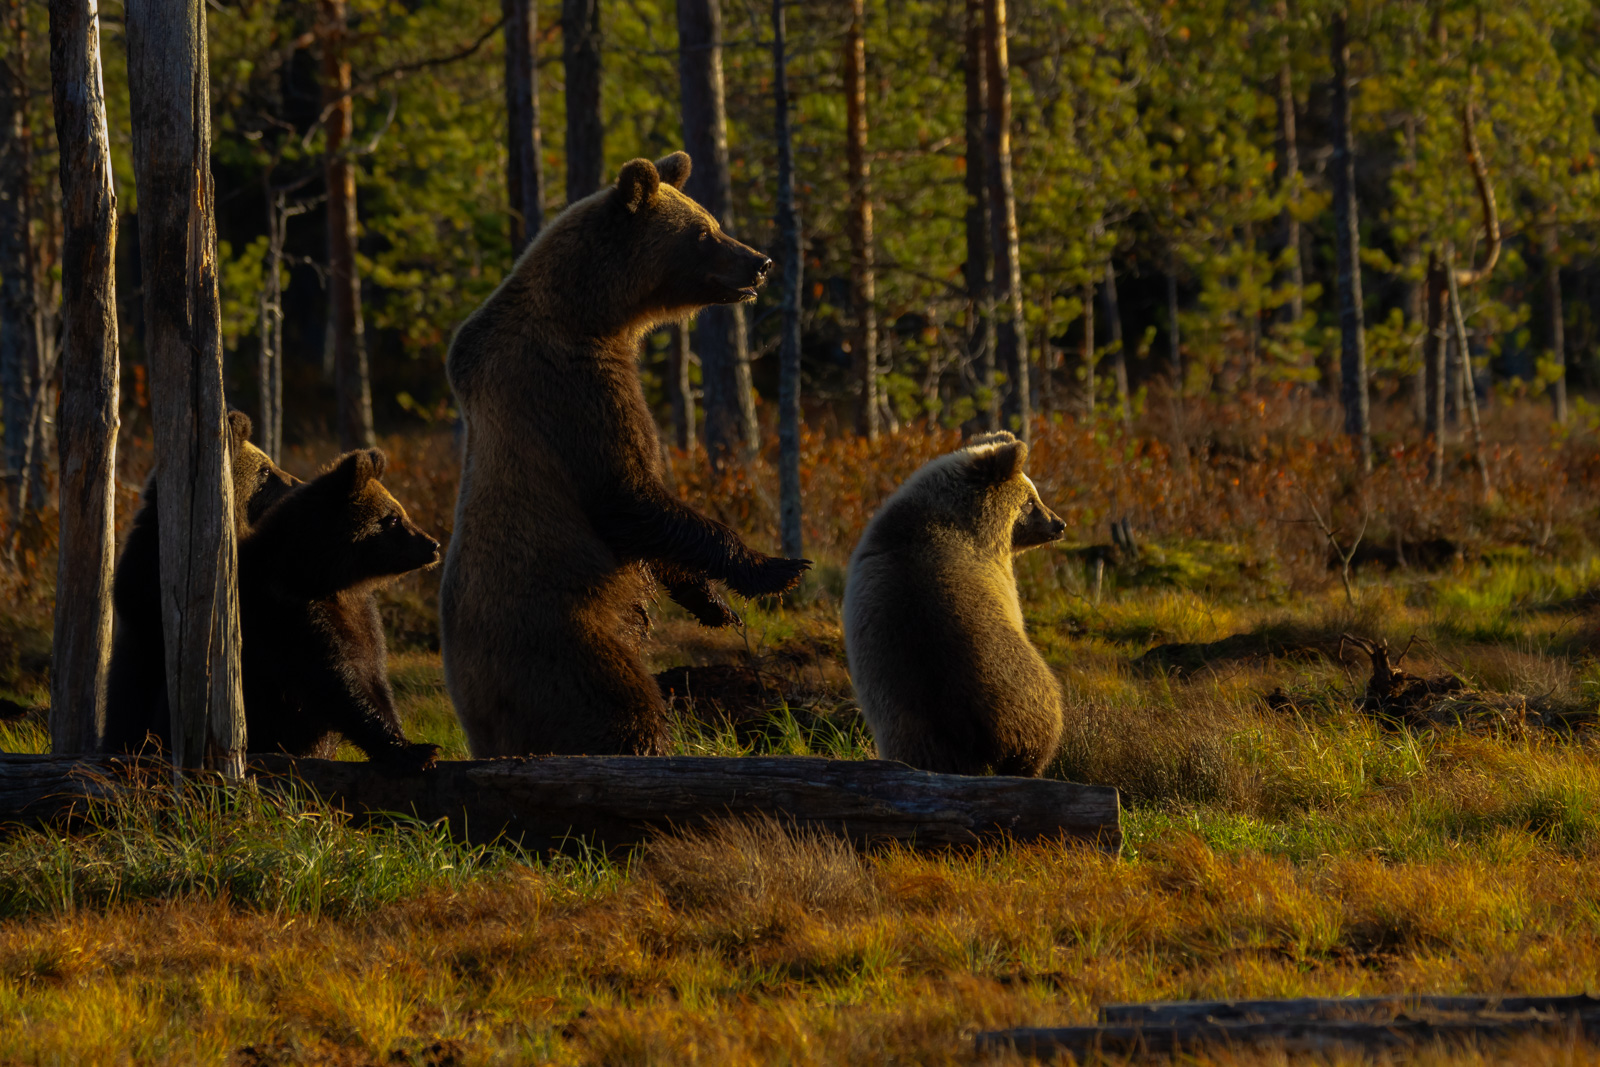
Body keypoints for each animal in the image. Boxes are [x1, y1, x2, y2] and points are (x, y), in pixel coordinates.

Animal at [236, 448, 441, 767]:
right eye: (393, 518)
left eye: (400, 512)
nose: (433, 545)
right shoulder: (289, 614)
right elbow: (336, 680)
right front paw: (415, 751)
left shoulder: (362, 615)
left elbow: (374, 677)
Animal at [440, 150, 810, 758]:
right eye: (703, 232)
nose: (761, 263)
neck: (592, 315)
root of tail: (478, 724)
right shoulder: (573, 388)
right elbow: (629, 494)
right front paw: (777, 568)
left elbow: (651, 526)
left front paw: (714, 604)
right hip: (566, 641)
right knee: (620, 705)